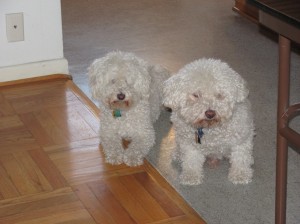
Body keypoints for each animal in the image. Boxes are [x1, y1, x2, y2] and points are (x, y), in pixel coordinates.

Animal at [163, 58, 254, 186]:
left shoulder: (241, 138)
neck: (210, 128)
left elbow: (240, 157)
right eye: (196, 95)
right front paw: (191, 176)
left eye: (219, 95)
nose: (210, 113)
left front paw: (240, 175)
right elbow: (191, 160)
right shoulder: (190, 144)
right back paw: (178, 154)